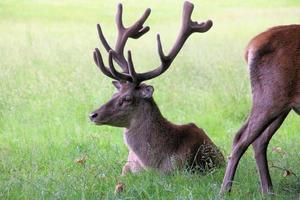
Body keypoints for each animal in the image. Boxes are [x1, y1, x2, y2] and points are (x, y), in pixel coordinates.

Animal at [90, 2, 224, 176]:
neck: (151, 165)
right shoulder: (126, 166)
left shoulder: (181, 171)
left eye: (127, 98)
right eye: (114, 94)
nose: (93, 115)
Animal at [220, 24, 300, 195]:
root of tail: (250, 47)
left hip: (280, 105)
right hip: (270, 97)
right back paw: (225, 191)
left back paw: (268, 191)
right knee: (241, 138)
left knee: (259, 140)